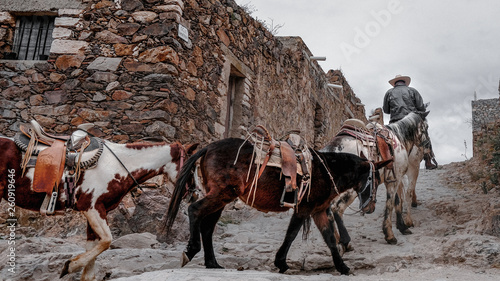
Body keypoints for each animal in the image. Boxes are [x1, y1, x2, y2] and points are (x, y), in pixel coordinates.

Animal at [163, 137, 390, 274]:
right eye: (375, 179)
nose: (370, 208)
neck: (328, 171)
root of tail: (209, 146)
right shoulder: (304, 209)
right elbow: (291, 234)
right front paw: (281, 262)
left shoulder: (318, 212)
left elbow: (330, 239)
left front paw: (342, 267)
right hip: (221, 194)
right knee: (194, 211)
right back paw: (191, 251)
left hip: (222, 197)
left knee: (208, 227)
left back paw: (212, 263)